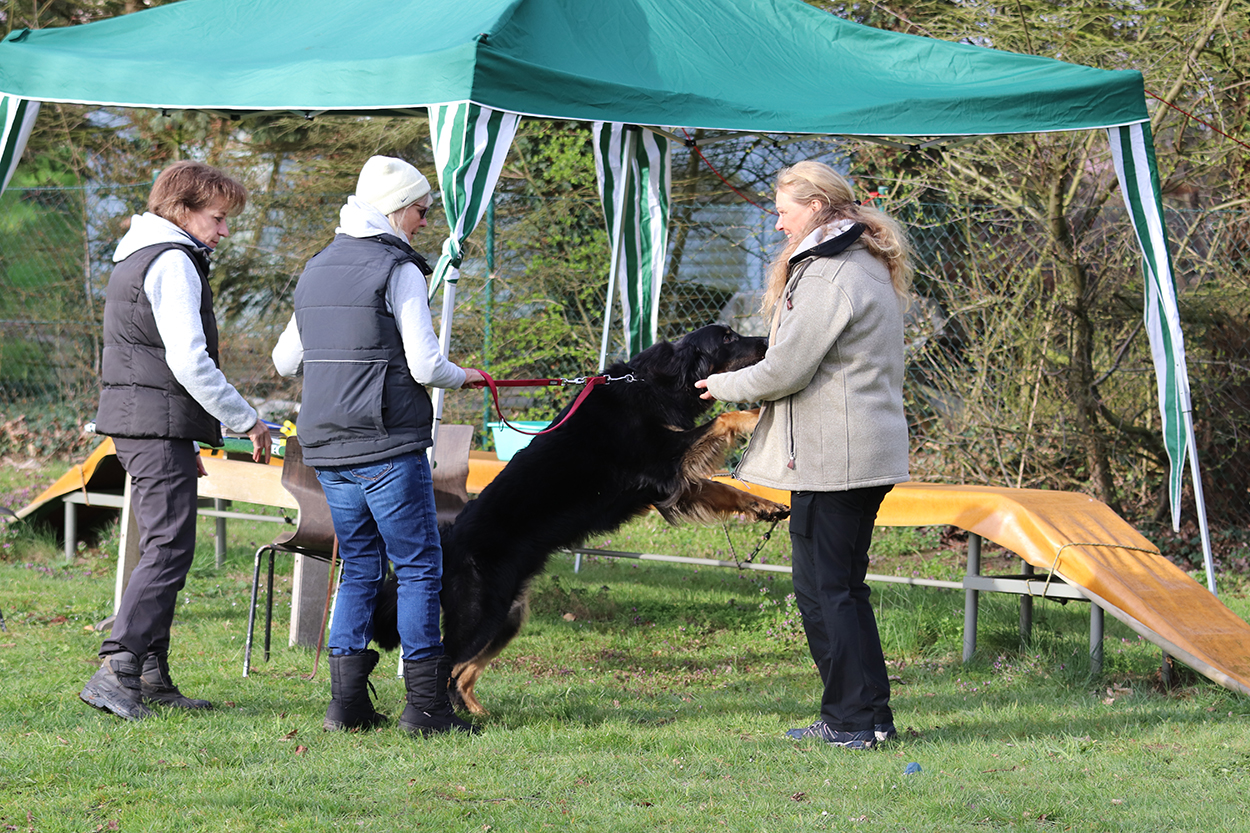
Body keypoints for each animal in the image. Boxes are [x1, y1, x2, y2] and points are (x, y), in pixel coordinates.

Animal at [376, 324, 789, 714]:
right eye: (728, 337)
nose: (767, 341)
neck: (655, 382)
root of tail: (447, 542)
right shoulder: (666, 462)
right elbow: (724, 418)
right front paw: (755, 416)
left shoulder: (672, 486)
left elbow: (727, 490)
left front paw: (765, 506)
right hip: (480, 614)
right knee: (446, 664)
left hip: (506, 616)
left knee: (461, 674)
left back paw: (479, 715)